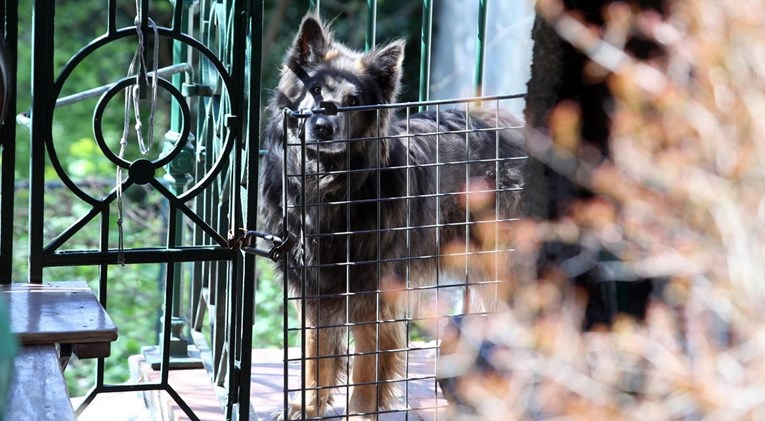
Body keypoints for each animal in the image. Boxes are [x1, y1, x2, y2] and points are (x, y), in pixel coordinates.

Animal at [260, 13, 524, 420]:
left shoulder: (374, 294)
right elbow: (317, 353)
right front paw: (309, 405)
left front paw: (361, 412)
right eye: (316, 90)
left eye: (353, 102)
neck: (328, 184)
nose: (323, 128)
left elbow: (367, 366)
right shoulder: (316, 289)